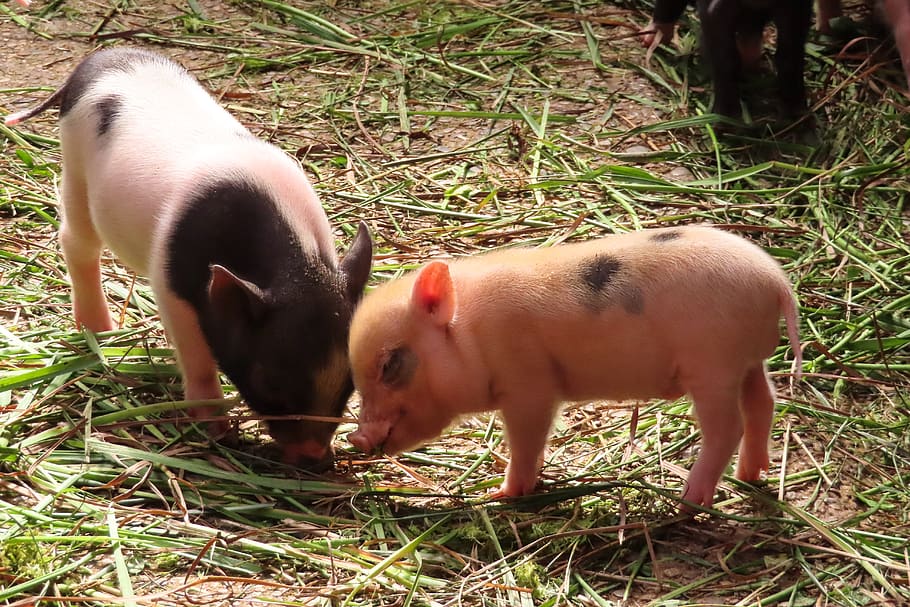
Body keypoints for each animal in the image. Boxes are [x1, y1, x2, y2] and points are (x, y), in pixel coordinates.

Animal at [4, 47, 373, 466]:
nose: (313, 457)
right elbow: (196, 356)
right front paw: (217, 430)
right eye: (269, 381)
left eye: (349, 381)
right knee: (77, 241)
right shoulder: (170, 280)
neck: (296, 270)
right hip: (75, 165)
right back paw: (101, 330)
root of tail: (100, 58)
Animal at [347, 226, 802, 509]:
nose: (355, 438)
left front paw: (501, 494)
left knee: (728, 426)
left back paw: (689, 501)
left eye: (390, 365)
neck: (472, 334)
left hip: (711, 364)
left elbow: (527, 439)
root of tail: (777, 281)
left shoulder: (528, 385)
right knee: (764, 401)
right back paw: (750, 475)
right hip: (745, 361)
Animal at [639, 0, 813, 118]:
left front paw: (797, 111)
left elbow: (790, 53)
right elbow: (725, 59)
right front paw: (726, 118)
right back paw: (649, 39)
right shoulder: (716, 10)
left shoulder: (796, 8)